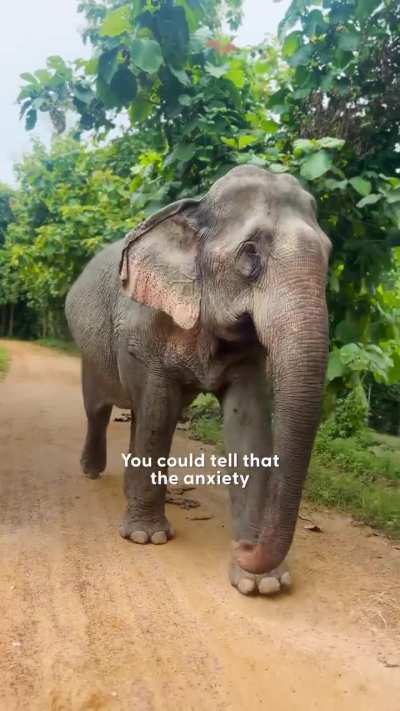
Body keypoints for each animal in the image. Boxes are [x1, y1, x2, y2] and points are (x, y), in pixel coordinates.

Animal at [65, 165, 331, 596]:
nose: (243, 548)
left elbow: (248, 428)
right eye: (249, 253)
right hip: (92, 351)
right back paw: (91, 471)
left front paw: (262, 583)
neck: (196, 207)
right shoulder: (145, 328)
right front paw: (147, 538)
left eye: (328, 256)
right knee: (99, 408)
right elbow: (158, 413)